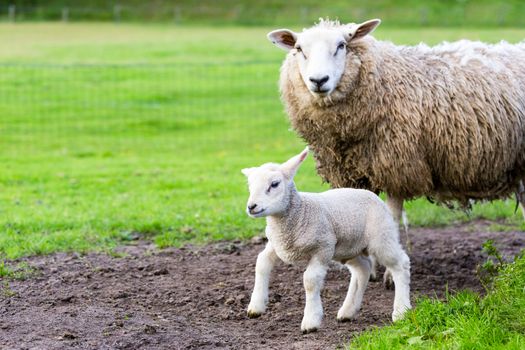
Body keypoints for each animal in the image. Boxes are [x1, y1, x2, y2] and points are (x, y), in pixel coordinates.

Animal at [242, 148, 410, 334]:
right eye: (250, 186)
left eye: (274, 184)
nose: (251, 207)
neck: (300, 213)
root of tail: (373, 195)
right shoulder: (277, 245)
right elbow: (261, 263)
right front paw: (256, 306)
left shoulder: (323, 248)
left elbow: (310, 280)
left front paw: (311, 320)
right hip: (349, 247)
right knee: (363, 269)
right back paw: (348, 311)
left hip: (382, 237)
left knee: (400, 264)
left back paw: (401, 312)